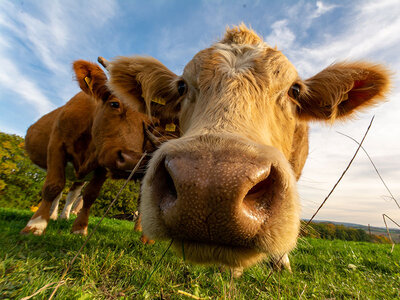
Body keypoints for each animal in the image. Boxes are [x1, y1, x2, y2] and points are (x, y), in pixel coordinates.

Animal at [21, 59, 166, 237]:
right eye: (114, 104)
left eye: (152, 124)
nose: (131, 160)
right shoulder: (56, 146)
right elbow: (52, 186)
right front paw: (36, 224)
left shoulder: (103, 161)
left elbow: (90, 195)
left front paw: (79, 228)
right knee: (60, 191)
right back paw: (52, 216)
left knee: (72, 193)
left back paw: (63, 216)